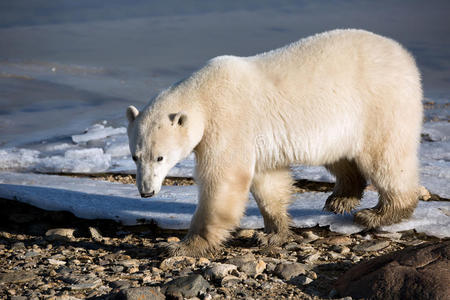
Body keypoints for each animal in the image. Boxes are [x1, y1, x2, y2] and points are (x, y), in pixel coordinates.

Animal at [125, 29, 422, 255]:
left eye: (160, 157)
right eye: (135, 156)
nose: (146, 192)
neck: (202, 94)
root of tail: (403, 55)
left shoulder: (229, 122)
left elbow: (223, 180)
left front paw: (183, 246)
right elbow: (268, 181)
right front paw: (272, 233)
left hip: (379, 103)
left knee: (385, 158)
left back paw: (377, 213)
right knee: (340, 155)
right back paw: (341, 199)